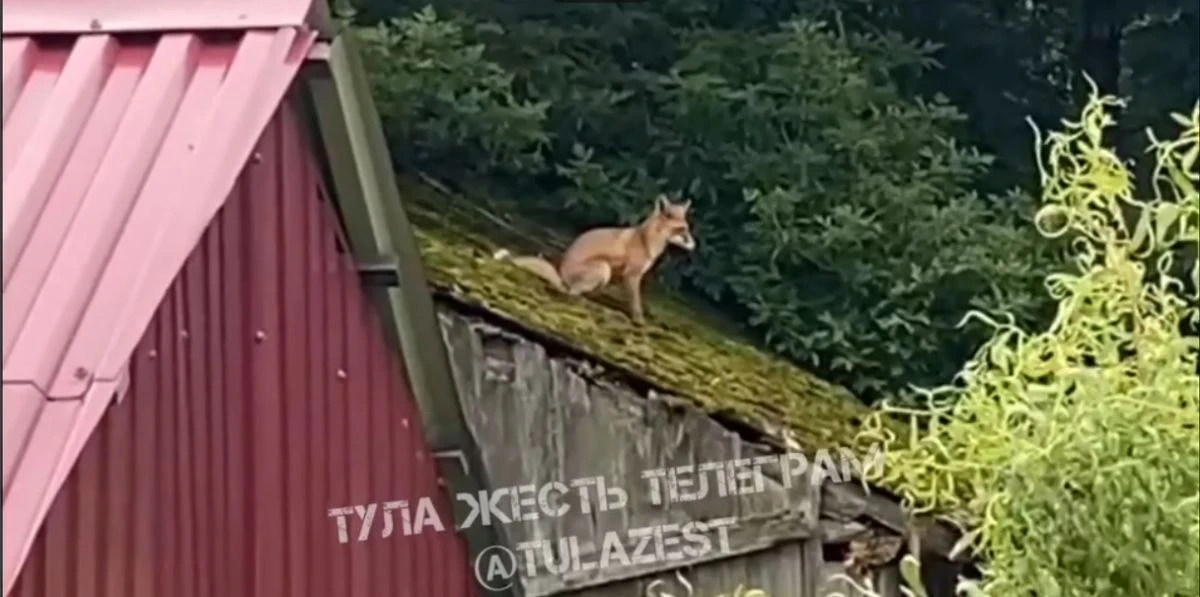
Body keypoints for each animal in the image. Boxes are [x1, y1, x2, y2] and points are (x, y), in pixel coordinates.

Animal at [492, 194, 696, 324]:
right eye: (681, 230)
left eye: (687, 228)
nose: (694, 245)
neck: (646, 241)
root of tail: (562, 274)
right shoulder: (631, 276)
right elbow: (636, 303)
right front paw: (639, 321)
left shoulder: (624, 276)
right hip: (602, 268)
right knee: (571, 293)